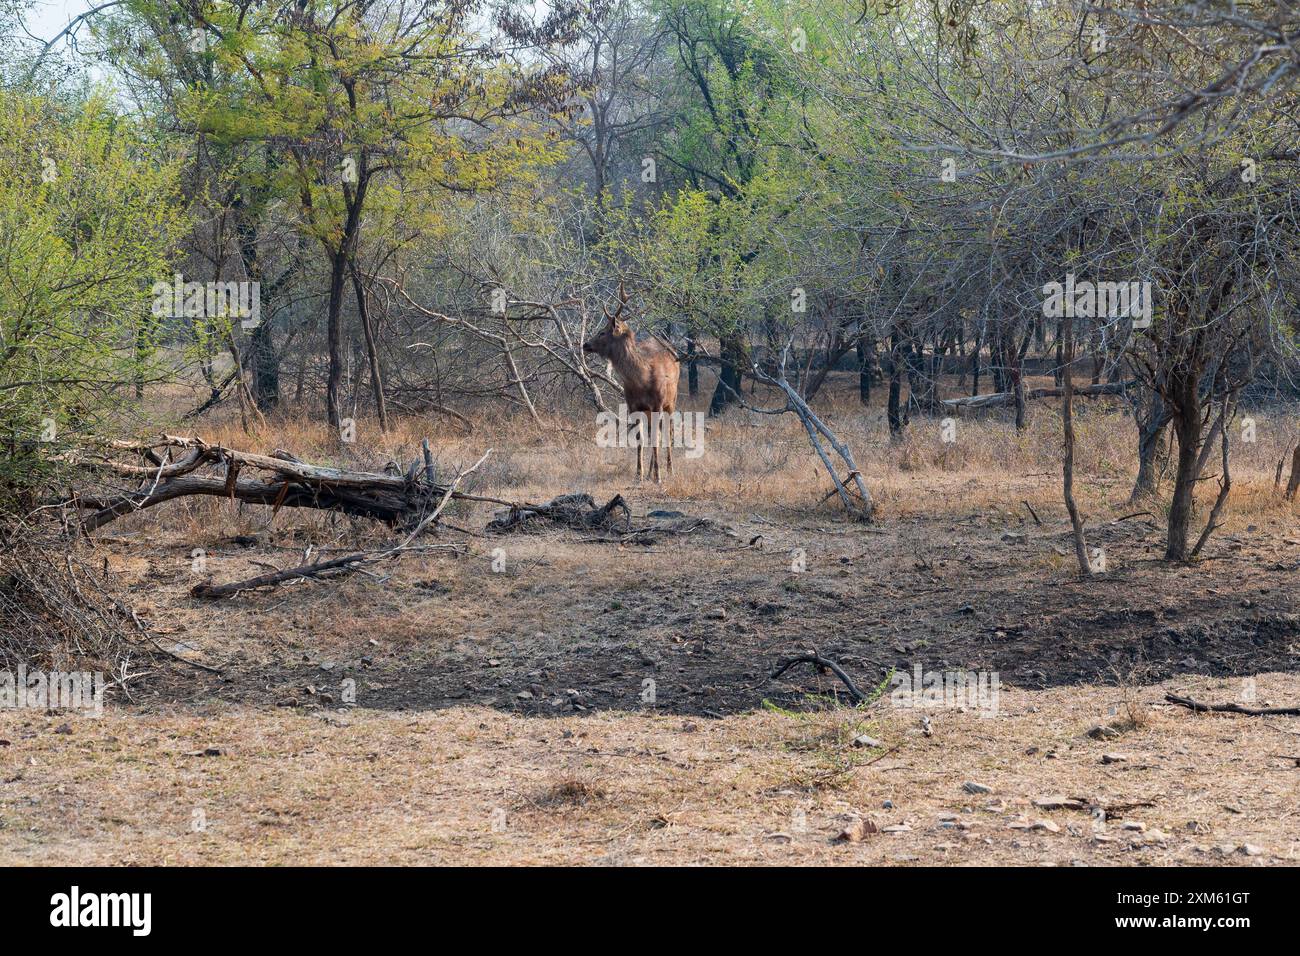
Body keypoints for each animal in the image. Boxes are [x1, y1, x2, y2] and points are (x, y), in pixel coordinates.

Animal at [582, 280, 681, 481]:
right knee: (657, 433)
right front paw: (639, 475)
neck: (641, 380)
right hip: (652, 410)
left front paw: (658, 477)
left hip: (671, 401)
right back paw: (651, 472)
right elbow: (640, 440)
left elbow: (656, 439)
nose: (585, 344)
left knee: (668, 431)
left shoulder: (658, 404)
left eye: (602, 332)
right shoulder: (633, 406)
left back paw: (669, 470)